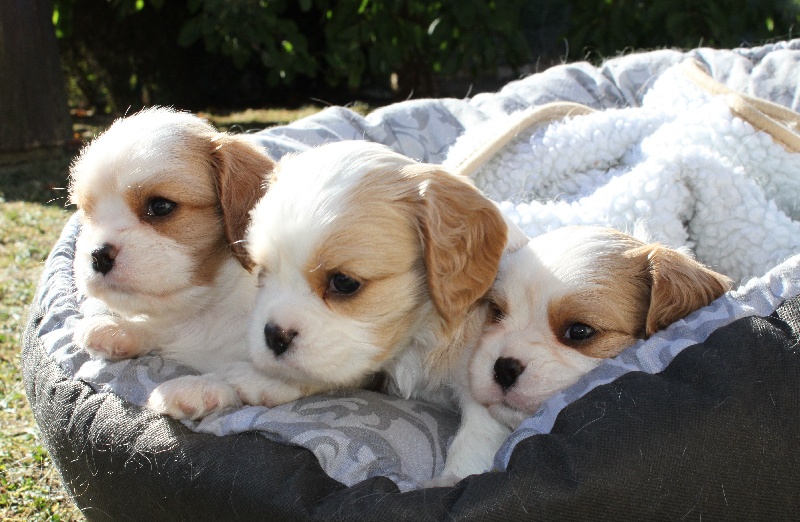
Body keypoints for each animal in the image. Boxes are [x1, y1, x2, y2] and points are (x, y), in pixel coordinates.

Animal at [68, 106, 272, 414]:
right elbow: (162, 325)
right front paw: (120, 329)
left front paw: (198, 388)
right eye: (87, 213)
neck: (210, 308)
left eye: (161, 206)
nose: (98, 255)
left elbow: (246, 375)